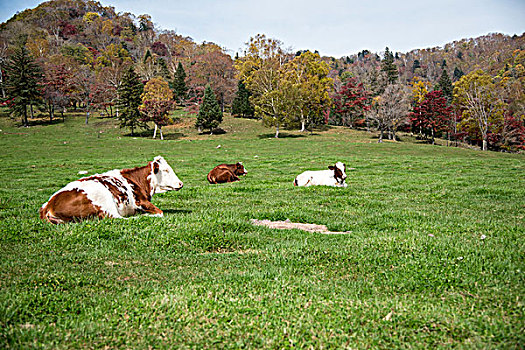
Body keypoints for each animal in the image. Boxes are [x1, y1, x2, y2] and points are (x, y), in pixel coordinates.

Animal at [39, 156, 182, 224]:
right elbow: (160, 212)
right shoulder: (141, 201)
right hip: (105, 201)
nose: (181, 183)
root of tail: (49, 204)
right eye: (166, 170)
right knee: (116, 218)